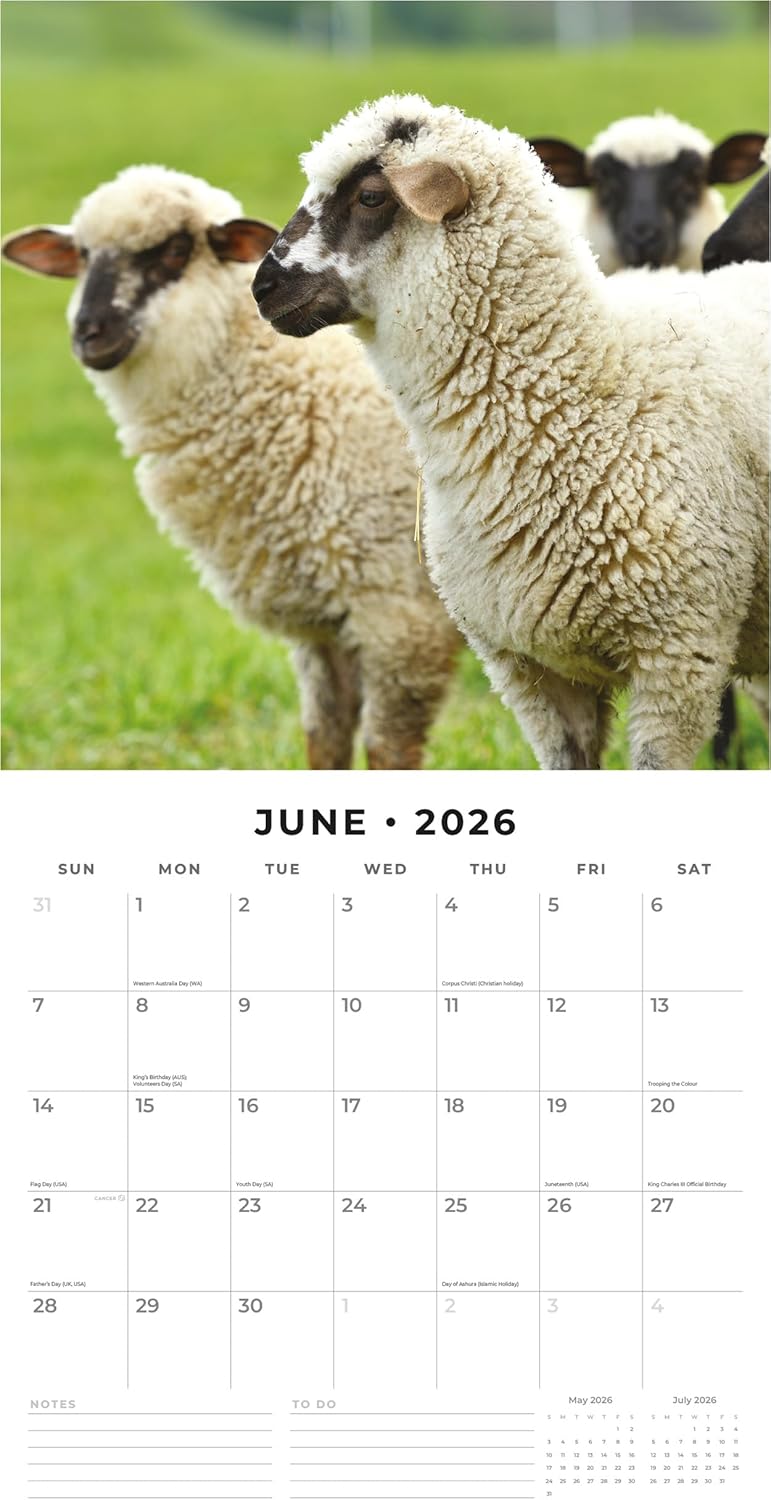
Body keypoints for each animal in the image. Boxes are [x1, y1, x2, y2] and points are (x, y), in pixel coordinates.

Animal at [2, 165, 459, 770]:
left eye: (175, 250)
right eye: (81, 255)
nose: (89, 333)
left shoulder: (400, 616)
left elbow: (388, 752)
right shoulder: (325, 628)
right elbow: (326, 739)